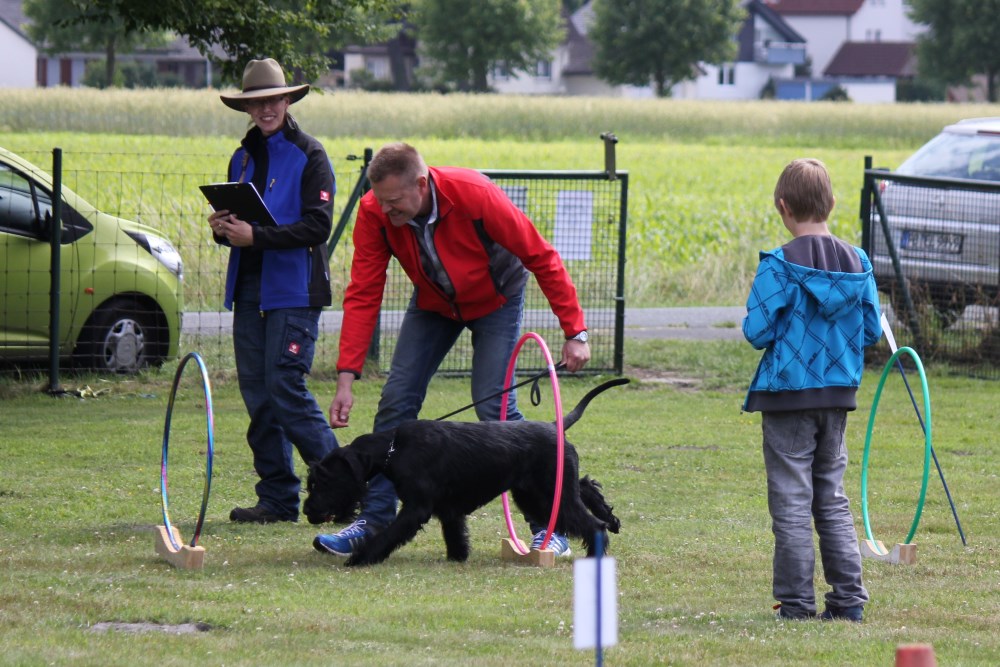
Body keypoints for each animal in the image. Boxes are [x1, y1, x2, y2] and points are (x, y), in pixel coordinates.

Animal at [302, 378, 624, 568]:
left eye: (325, 480)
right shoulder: (449, 508)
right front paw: (458, 558)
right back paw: (610, 517)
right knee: (585, 486)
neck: (393, 448)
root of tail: (555, 425)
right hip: (534, 493)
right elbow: (455, 533)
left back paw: (596, 552)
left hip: (549, 493)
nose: (308, 510)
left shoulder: (416, 508)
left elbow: (388, 534)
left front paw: (361, 557)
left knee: (590, 524)